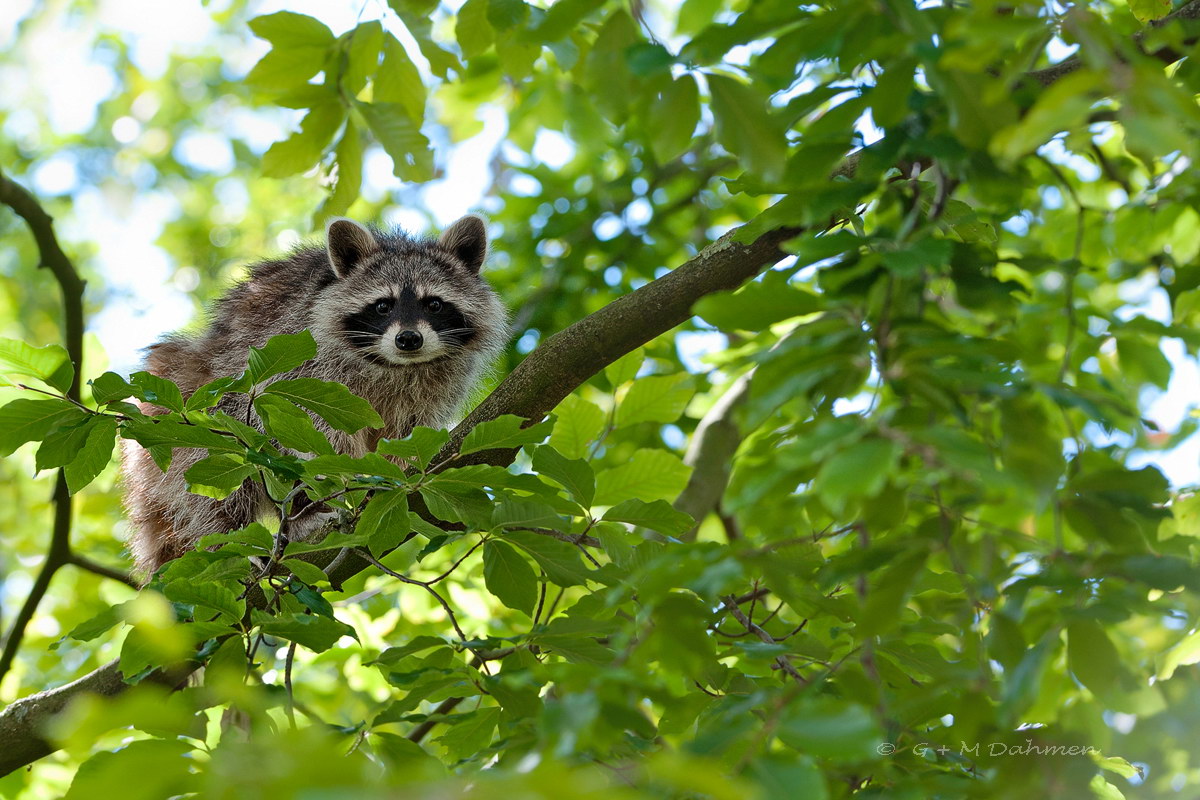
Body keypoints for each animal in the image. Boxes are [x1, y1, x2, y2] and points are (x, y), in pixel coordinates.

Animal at [117, 215, 501, 578]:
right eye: (382, 306)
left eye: (434, 304)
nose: (408, 339)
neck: (394, 365)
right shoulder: (298, 351)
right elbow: (311, 426)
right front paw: (348, 476)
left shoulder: (437, 386)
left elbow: (407, 431)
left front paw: (397, 469)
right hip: (190, 400)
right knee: (213, 474)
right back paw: (241, 533)